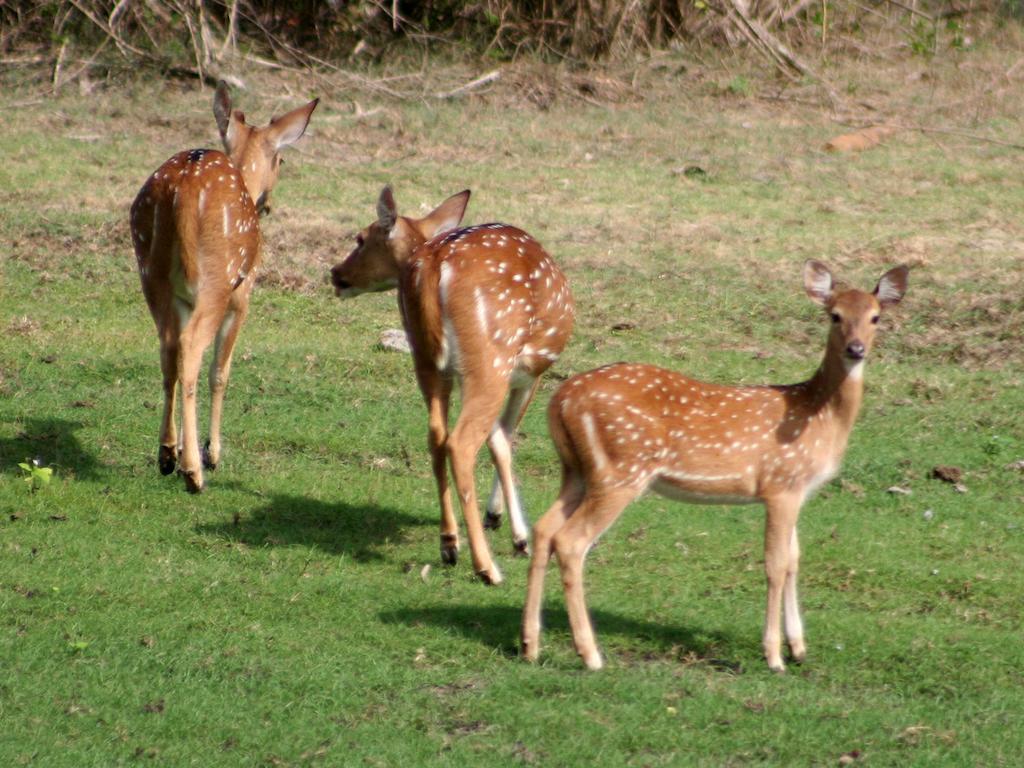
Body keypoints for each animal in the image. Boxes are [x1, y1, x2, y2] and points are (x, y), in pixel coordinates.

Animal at [131, 82, 315, 493]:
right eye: (281, 160)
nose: (268, 204)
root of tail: (182, 190)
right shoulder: (242, 295)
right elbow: (221, 371)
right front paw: (212, 453)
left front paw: (183, 450)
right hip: (217, 278)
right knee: (191, 349)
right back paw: (194, 472)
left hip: (151, 271)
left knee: (168, 349)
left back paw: (167, 455)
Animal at [329, 189, 577, 585]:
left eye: (360, 239)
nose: (336, 274)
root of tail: (433, 264)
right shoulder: (529, 373)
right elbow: (505, 438)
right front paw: (516, 534)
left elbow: (495, 437)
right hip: (489, 358)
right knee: (460, 442)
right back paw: (487, 566)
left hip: (427, 360)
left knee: (436, 434)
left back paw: (449, 542)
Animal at [524, 262, 909, 671]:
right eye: (834, 315)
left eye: (876, 317)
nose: (856, 349)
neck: (818, 414)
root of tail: (560, 400)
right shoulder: (781, 483)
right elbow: (775, 564)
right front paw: (774, 656)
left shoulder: (797, 490)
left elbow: (794, 559)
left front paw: (798, 647)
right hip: (621, 469)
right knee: (571, 541)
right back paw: (590, 654)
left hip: (576, 470)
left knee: (544, 529)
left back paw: (530, 644)